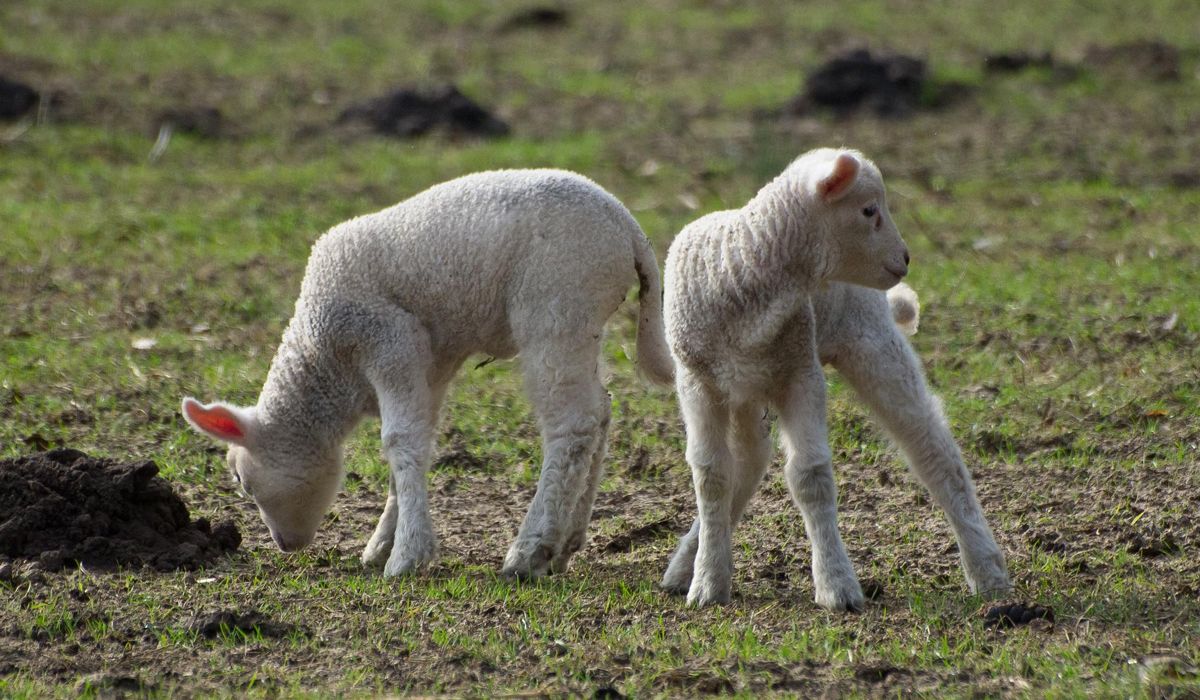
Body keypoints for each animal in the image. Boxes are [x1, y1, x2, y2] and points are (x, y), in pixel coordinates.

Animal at [181, 168, 674, 580]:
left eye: (243, 482)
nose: (285, 545)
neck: (326, 360)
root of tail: (630, 230)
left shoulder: (390, 340)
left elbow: (398, 441)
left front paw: (406, 556)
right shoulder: (430, 363)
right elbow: (415, 442)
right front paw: (384, 542)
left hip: (556, 309)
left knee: (571, 426)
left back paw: (530, 550)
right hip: (584, 323)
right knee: (600, 412)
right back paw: (568, 542)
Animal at [659, 148, 1011, 608]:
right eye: (869, 210)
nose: (906, 258)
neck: (743, 270)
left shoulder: (801, 373)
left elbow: (810, 477)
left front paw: (836, 584)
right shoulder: (698, 382)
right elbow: (712, 476)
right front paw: (707, 584)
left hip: (874, 345)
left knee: (935, 452)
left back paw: (987, 570)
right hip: (748, 389)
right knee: (748, 463)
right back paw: (686, 563)